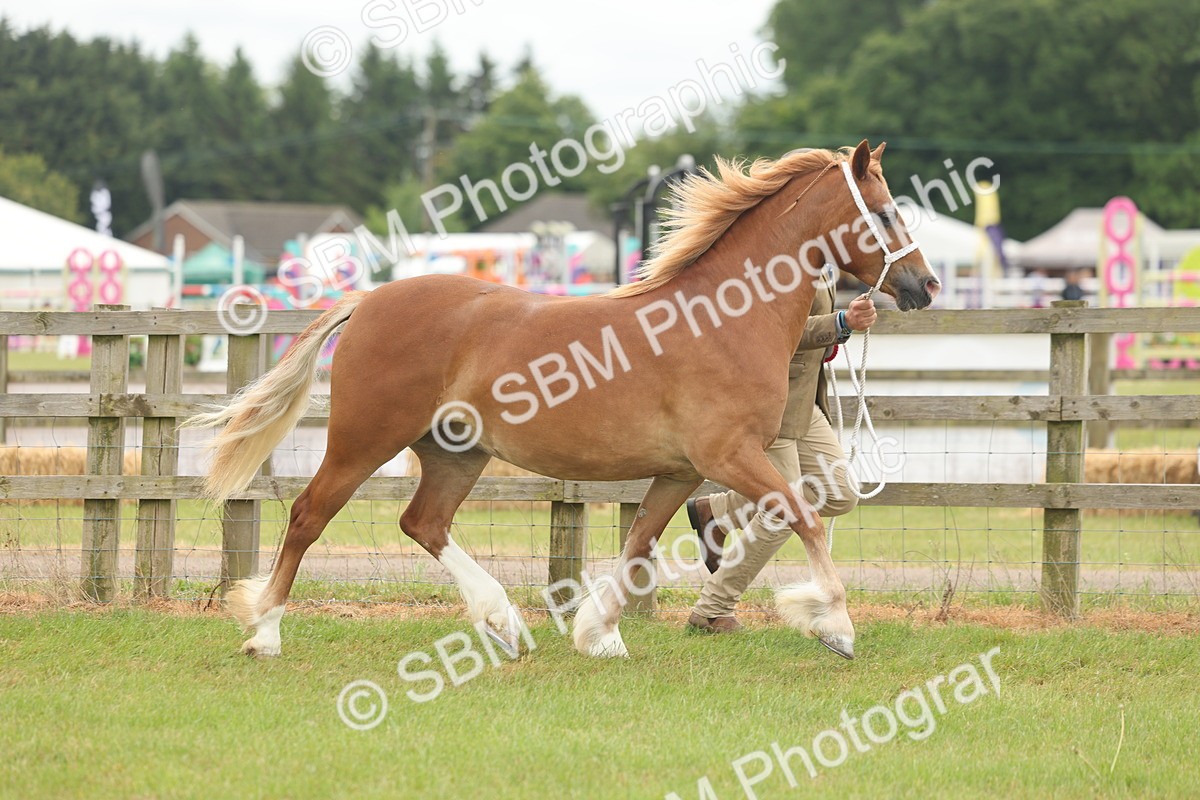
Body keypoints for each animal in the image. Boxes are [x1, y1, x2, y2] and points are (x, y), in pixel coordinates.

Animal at [185, 140, 940, 661]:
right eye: (884, 212)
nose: (926, 285)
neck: (722, 319)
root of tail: (369, 299)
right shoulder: (729, 455)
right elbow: (804, 518)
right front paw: (836, 626)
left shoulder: (682, 472)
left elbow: (640, 542)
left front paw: (597, 633)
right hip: (364, 439)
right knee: (310, 515)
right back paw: (265, 634)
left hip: (456, 453)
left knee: (423, 523)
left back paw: (504, 622)